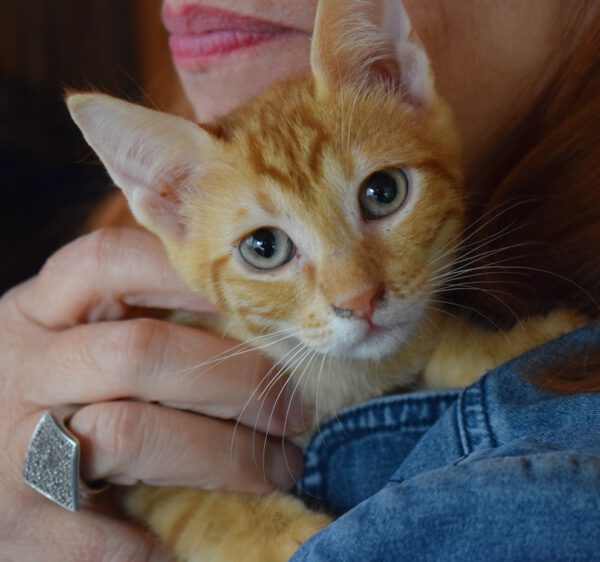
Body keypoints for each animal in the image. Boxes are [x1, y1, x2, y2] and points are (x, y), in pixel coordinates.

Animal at [67, 1, 584, 556]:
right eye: (264, 248)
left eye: (383, 192)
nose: (360, 301)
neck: (337, 376)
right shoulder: (146, 459)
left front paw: (517, 342)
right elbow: (203, 508)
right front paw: (284, 535)